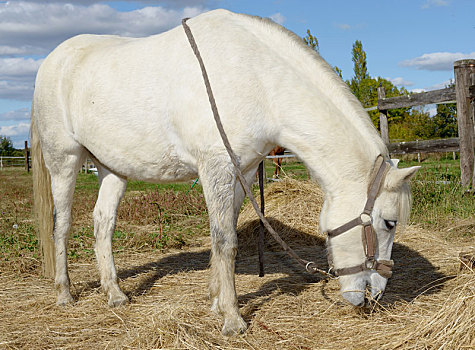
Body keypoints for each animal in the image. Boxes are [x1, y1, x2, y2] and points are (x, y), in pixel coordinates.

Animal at [31, 9, 418, 334]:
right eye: (389, 223)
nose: (374, 295)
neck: (257, 79)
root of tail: (53, 60)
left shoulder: (242, 172)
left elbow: (225, 232)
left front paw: (217, 301)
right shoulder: (215, 167)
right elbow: (225, 240)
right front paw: (232, 318)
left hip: (111, 168)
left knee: (103, 223)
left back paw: (114, 293)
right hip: (64, 162)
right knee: (62, 225)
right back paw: (64, 294)